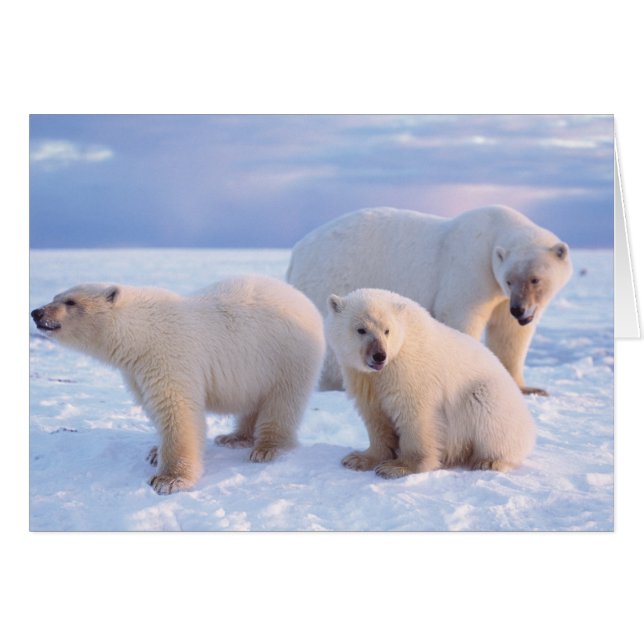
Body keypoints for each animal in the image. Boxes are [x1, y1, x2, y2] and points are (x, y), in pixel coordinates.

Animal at [31, 275, 325, 494]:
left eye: (70, 301)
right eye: (56, 296)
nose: (36, 312)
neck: (142, 332)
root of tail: (302, 299)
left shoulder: (169, 356)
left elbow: (176, 410)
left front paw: (168, 480)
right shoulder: (136, 370)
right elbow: (153, 406)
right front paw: (154, 452)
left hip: (286, 355)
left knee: (283, 400)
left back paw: (267, 448)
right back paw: (234, 437)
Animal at [287, 204, 572, 395]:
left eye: (535, 279)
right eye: (511, 280)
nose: (520, 310)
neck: (493, 233)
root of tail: (297, 252)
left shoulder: (499, 293)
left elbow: (509, 334)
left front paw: (527, 387)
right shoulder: (469, 269)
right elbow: (461, 316)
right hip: (334, 275)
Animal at [325, 288, 536, 478]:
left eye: (387, 330)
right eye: (361, 329)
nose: (379, 355)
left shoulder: (408, 372)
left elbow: (416, 417)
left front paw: (397, 468)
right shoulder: (363, 378)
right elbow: (375, 417)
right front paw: (358, 459)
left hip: (492, 398)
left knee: (487, 411)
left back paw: (490, 461)